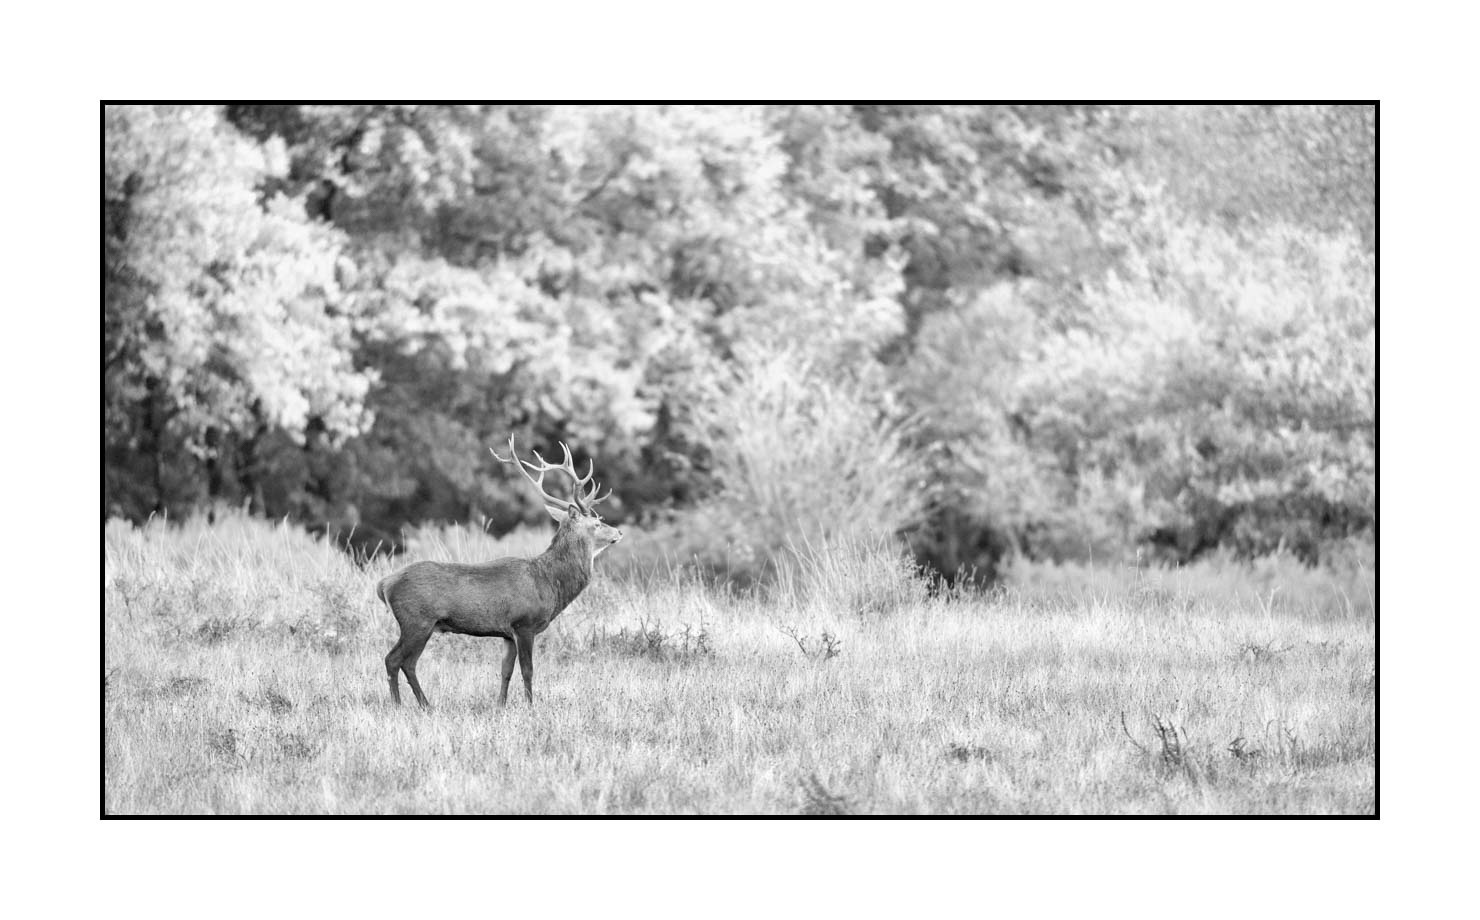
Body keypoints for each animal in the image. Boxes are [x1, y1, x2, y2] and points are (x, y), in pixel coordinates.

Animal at [376, 437, 623, 707]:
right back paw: (408, 705)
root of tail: (385, 584)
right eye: (597, 523)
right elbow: (528, 670)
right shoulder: (524, 624)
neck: (548, 583)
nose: (619, 532)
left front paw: (500, 704)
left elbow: (506, 670)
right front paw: (530, 706)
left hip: (420, 624)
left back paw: (420, 705)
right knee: (397, 660)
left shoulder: (507, 633)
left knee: (402, 662)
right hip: (417, 620)